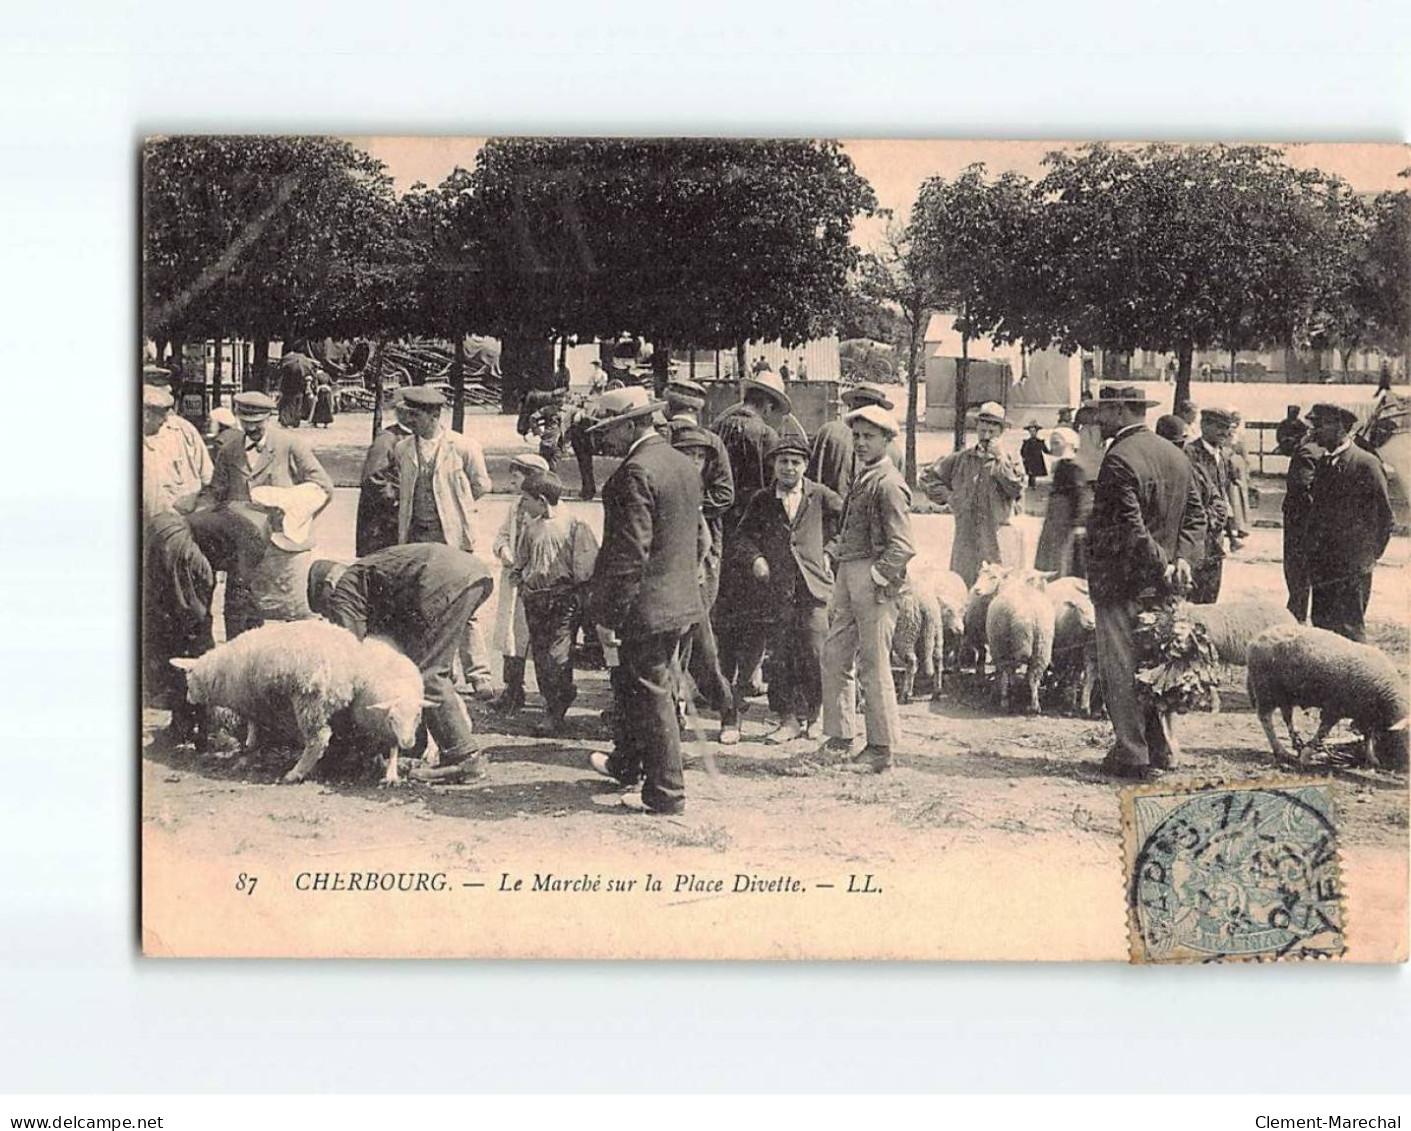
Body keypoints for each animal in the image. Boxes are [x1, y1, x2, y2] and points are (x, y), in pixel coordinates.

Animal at [172, 617, 423, 784]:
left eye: (189, 681)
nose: (188, 699)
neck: (219, 671)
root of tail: (353, 662)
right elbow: (255, 720)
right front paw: (252, 742)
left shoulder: (254, 699)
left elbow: (254, 720)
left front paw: (252, 741)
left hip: (310, 700)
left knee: (318, 738)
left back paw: (296, 772)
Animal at [987, 569, 1055, 710]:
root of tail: (1030, 615)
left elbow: (1001, 672)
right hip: (1042, 646)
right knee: (1034, 674)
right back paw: (1034, 705)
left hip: (1004, 644)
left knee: (1007, 670)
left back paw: (1005, 699)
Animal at [1049, 578, 1100, 710]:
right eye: (1080, 609)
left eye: (1095, 610)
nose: (1091, 623)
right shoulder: (1066, 649)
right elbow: (1066, 671)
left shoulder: (1083, 651)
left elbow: (1082, 674)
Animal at [1247, 620, 1411, 772]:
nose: (1404, 769)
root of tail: (1258, 638)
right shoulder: (1334, 708)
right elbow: (1322, 733)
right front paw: (1306, 757)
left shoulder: (1365, 714)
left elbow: (1368, 736)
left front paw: (1371, 758)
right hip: (1266, 689)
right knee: (1265, 719)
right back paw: (1280, 750)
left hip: (1286, 694)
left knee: (1287, 717)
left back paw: (1295, 743)